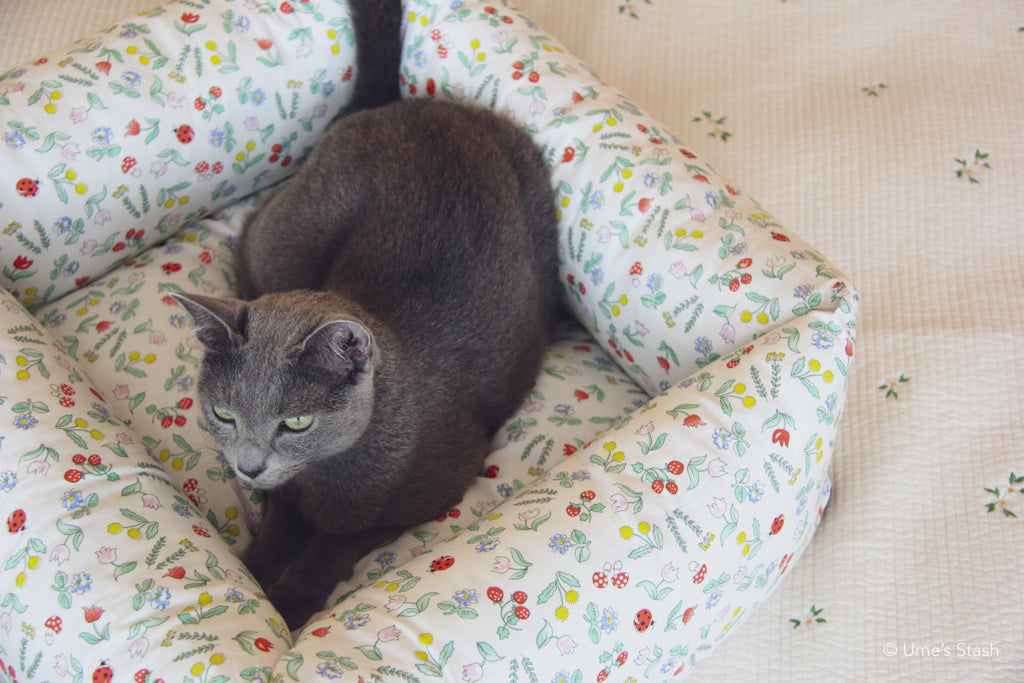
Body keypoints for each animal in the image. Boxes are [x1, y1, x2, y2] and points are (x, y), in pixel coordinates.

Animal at [176, 2, 561, 630]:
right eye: (224, 414)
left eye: (296, 422)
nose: (249, 468)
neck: (322, 473)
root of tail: (396, 106)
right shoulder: (284, 495)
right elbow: (280, 527)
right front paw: (253, 578)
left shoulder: (436, 486)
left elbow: (335, 545)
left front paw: (288, 602)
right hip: (284, 239)